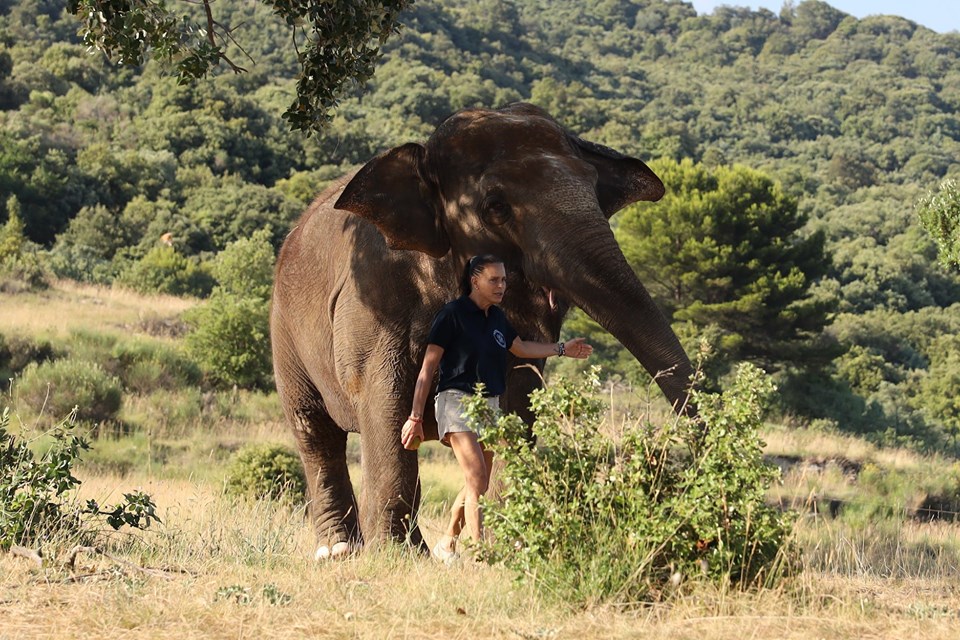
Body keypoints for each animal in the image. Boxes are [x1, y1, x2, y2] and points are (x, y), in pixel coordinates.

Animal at [268, 102, 688, 556]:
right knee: (314, 433)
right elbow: (385, 395)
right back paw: (339, 551)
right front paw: (398, 554)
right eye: (496, 207)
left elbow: (520, 393)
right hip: (284, 335)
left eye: (595, 189)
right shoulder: (375, 297)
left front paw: (508, 544)